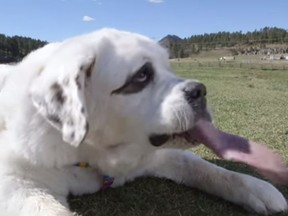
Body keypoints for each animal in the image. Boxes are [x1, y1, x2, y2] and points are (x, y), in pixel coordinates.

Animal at [0, 29, 286, 216]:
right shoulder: (16, 186)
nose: (200, 91)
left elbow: (209, 169)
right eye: (141, 76)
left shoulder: (158, 156)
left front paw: (260, 189)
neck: (91, 154)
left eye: (169, 68)